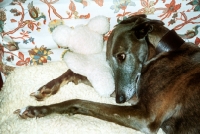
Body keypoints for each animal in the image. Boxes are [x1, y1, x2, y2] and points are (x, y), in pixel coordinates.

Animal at [14, 15, 200, 133]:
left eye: (122, 56)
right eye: (109, 62)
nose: (119, 99)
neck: (165, 52)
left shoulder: (145, 116)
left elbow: (78, 101)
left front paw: (35, 111)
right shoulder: (132, 93)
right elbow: (75, 72)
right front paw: (46, 88)